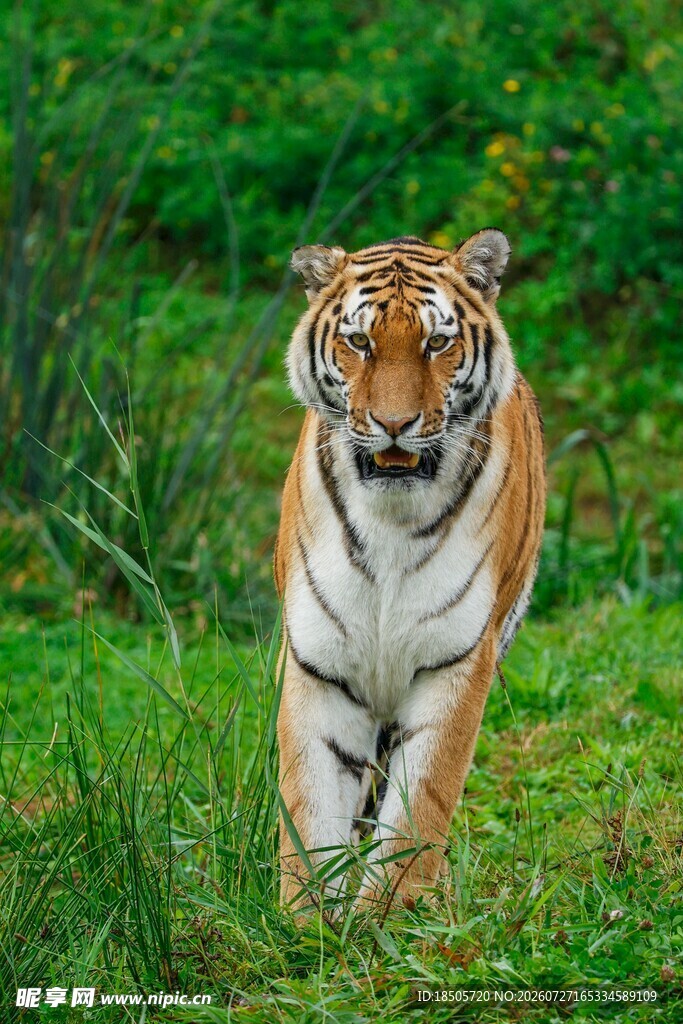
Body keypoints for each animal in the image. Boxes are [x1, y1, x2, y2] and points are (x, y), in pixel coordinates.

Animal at [274, 229, 546, 912]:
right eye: (359, 342)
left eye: (437, 344)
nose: (394, 425)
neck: (391, 521)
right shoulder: (318, 659)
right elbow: (310, 803)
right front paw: (303, 919)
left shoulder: (457, 659)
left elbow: (419, 806)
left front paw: (387, 913)